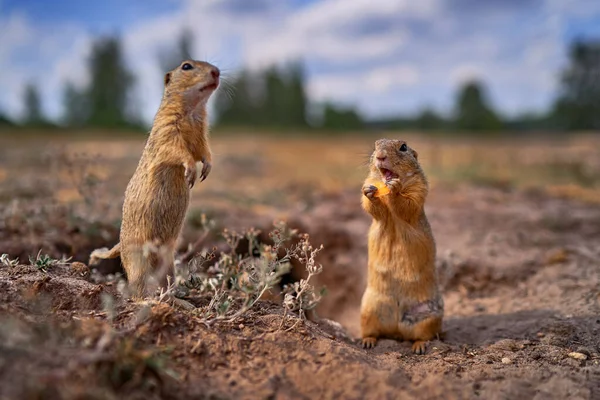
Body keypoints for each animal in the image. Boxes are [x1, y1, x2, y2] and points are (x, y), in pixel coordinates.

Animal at [88, 59, 219, 296]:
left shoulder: (201, 134)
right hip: (139, 260)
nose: (217, 72)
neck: (193, 110)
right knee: (137, 289)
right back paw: (151, 299)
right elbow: (178, 151)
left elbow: (204, 151)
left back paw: (177, 297)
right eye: (186, 66)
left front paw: (206, 168)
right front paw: (191, 171)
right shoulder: (167, 130)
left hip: (168, 262)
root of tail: (120, 245)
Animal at [358, 139, 442, 354]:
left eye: (403, 147)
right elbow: (372, 207)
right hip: (368, 312)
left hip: (428, 317)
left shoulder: (418, 188)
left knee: (425, 335)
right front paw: (370, 193)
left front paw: (394, 189)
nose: (380, 156)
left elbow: (407, 205)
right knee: (373, 331)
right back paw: (367, 341)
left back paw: (419, 346)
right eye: (375, 145)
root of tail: (397, 331)